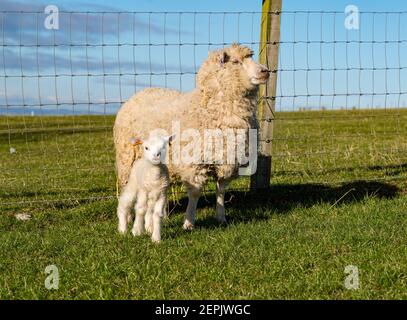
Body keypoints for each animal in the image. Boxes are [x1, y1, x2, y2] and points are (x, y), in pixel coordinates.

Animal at [113, 44, 270, 230]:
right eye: (235, 61)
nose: (266, 71)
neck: (208, 109)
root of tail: (141, 92)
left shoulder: (228, 161)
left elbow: (221, 191)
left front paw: (221, 217)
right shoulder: (195, 163)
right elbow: (195, 193)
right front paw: (189, 222)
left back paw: (163, 214)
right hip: (127, 159)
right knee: (127, 186)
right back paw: (130, 217)